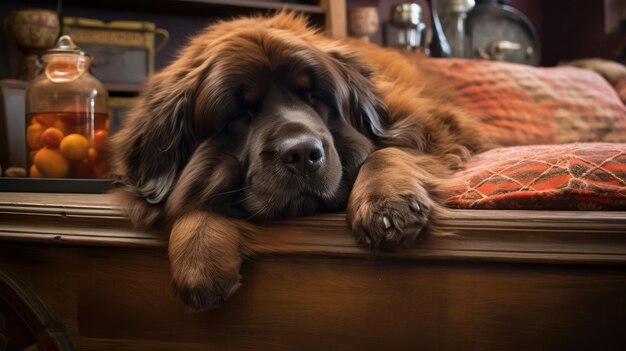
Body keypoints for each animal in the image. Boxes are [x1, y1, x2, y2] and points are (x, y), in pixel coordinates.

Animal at [111, 13, 482, 310]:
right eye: (240, 113)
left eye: (315, 97)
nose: (302, 153)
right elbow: (192, 189)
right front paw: (198, 248)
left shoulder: (435, 126)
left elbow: (386, 151)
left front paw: (387, 202)